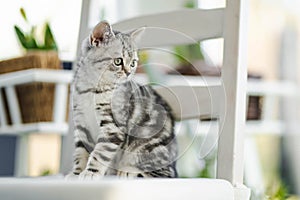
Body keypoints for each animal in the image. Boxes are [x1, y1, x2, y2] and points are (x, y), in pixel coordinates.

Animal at [67, 21, 177, 179]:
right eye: (118, 61)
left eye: (133, 63)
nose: (129, 72)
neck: (91, 90)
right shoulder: (81, 123)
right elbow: (80, 152)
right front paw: (76, 172)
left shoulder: (113, 126)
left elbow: (100, 153)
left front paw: (90, 172)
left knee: (159, 174)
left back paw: (127, 171)